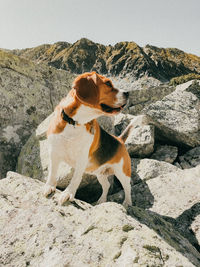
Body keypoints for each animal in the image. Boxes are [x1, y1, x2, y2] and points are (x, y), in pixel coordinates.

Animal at [43, 71, 132, 207]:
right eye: (108, 83)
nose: (127, 93)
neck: (74, 123)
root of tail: (119, 140)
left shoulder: (81, 158)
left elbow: (75, 178)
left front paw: (68, 194)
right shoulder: (54, 152)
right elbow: (52, 172)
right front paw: (49, 186)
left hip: (122, 172)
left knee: (128, 188)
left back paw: (127, 203)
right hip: (99, 172)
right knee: (106, 185)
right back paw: (101, 201)